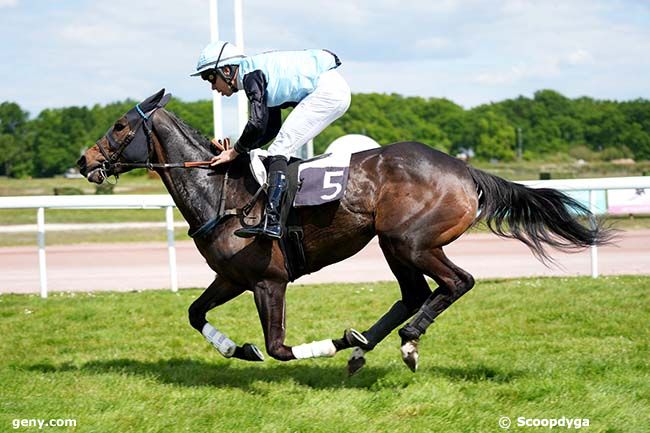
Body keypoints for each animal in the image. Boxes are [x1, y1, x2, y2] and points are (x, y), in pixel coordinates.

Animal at [77, 90, 612, 372]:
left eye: (121, 126)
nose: (84, 161)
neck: (224, 193)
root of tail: (465, 170)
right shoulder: (231, 277)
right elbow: (194, 313)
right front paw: (238, 348)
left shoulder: (268, 281)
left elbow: (280, 348)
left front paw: (332, 342)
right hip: (394, 244)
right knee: (415, 294)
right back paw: (367, 345)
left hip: (412, 241)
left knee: (456, 283)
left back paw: (401, 341)